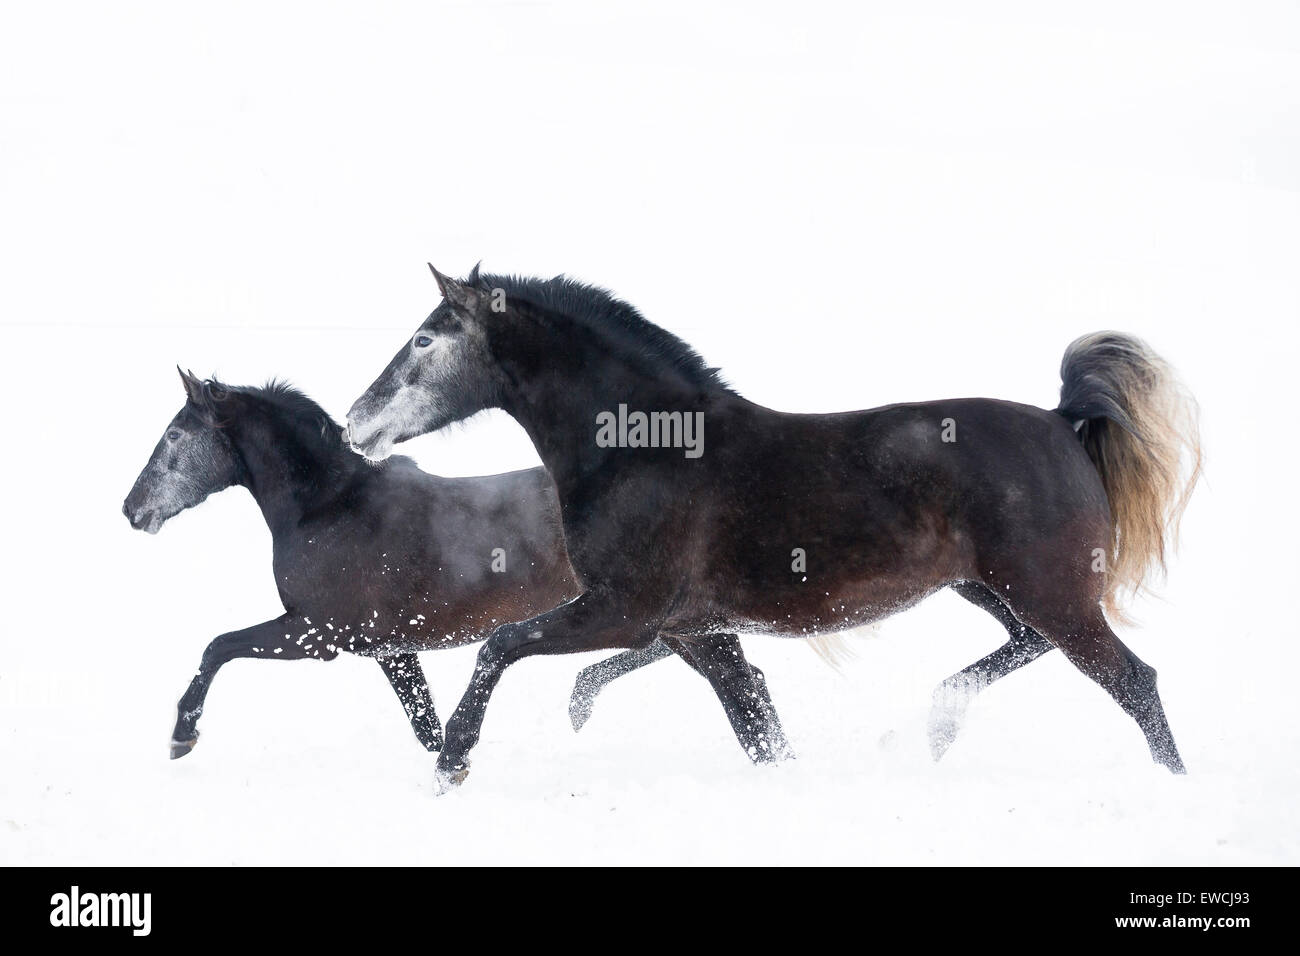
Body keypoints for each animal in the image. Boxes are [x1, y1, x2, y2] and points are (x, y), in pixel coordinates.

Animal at [124, 369, 790, 764]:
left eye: (175, 437)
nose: (132, 509)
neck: (329, 508)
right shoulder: (390, 649)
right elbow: (425, 725)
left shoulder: (317, 635)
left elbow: (219, 646)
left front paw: (182, 736)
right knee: (745, 686)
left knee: (741, 687)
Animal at [343, 265, 1196, 790]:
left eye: (424, 338)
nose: (355, 422)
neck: (646, 451)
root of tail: (1061, 420)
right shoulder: (694, 630)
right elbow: (756, 722)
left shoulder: (624, 613)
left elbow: (499, 645)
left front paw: (450, 763)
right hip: (992, 587)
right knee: (1030, 646)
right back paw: (933, 725)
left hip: (1047, 588)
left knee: (1134, 681)